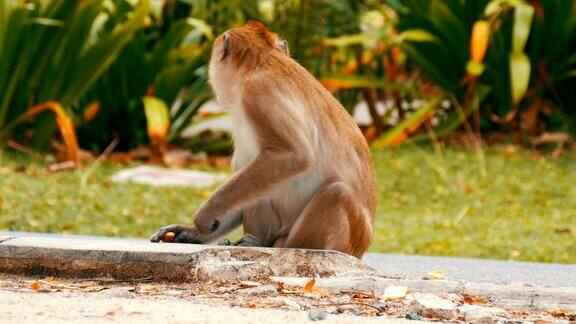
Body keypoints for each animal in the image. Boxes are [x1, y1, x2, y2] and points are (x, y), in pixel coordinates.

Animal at [152, 20, 378, 258]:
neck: (263, 61)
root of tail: (360, 249)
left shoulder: (257, 93)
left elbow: (293, 156)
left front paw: (204, 217)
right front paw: (194, 232)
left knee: (337, 193)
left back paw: (273, 245)